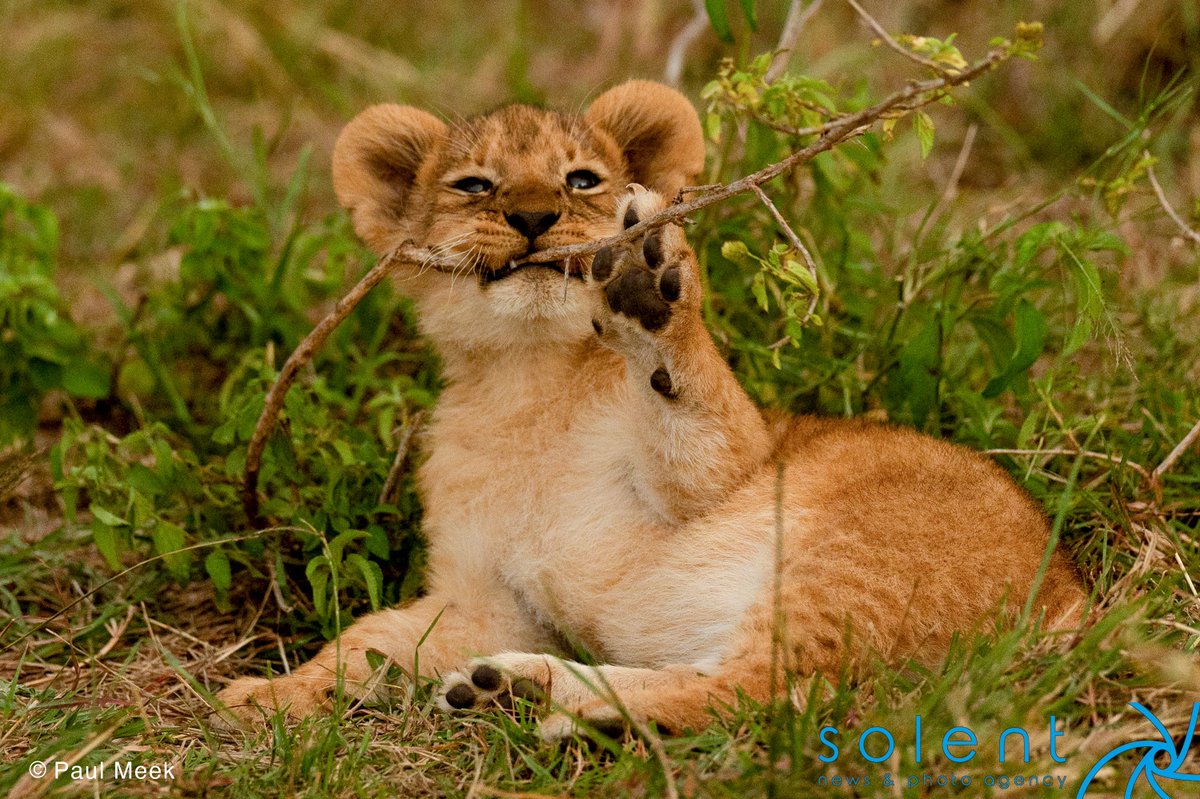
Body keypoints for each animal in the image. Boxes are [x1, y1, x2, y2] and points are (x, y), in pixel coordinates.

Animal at [214, 80, 1085, 739]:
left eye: (581, 179)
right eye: (475, 185)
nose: (533, 218)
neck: (526, 385)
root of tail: (1073, 596)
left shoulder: (731, 468)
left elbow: (696, 414)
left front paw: (647, 283)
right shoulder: (493, 602)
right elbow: (370, 638)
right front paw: (264, 697)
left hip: (855, 554)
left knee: (768, 691)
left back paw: (574, 708)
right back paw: (510, 689)